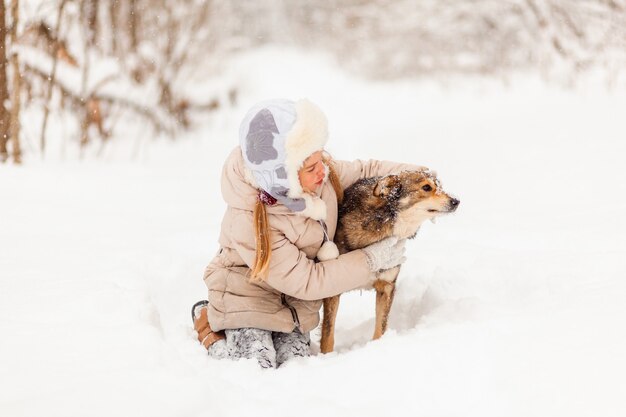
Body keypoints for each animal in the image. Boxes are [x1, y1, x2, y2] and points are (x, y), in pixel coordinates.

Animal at [320, 169, 456, 352]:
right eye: (426, 187)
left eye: (440, 185)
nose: (456, 201)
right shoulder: (332, 289)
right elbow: (328, 336)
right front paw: (325, 356)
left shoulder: (387, 287)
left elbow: (380, 328)